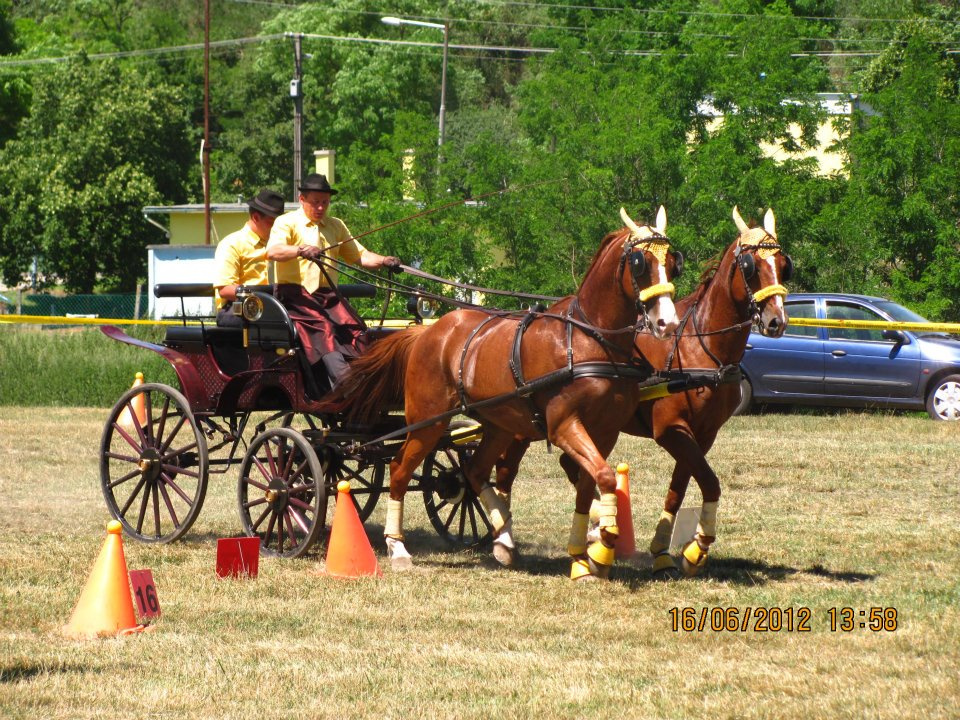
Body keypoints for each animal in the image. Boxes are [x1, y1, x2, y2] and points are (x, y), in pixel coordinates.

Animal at [336, 208, 684, 580]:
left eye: (673, 262)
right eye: (640, 262)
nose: (667, 323)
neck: (588, 340)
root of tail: (425, 333)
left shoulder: (605, 432)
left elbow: (588, 485)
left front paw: (584, 556)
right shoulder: (564, 426)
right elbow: (603, 476)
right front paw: (603, 542)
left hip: (498, 425)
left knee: (474, 471)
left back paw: (503, 540)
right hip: (427, 422)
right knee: (400, 469)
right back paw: (397, 548)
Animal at [492, 207, 792, 572]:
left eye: (784, 263)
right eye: (750, 266)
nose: (776, 320)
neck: (700, 347)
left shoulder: (703, 435)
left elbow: (681, 488)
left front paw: (667, 551)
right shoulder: (671, 430)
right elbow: (708, 481)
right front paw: (696, 548)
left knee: (568, 465)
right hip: (521, 425)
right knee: (506, 471)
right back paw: (504, 539)